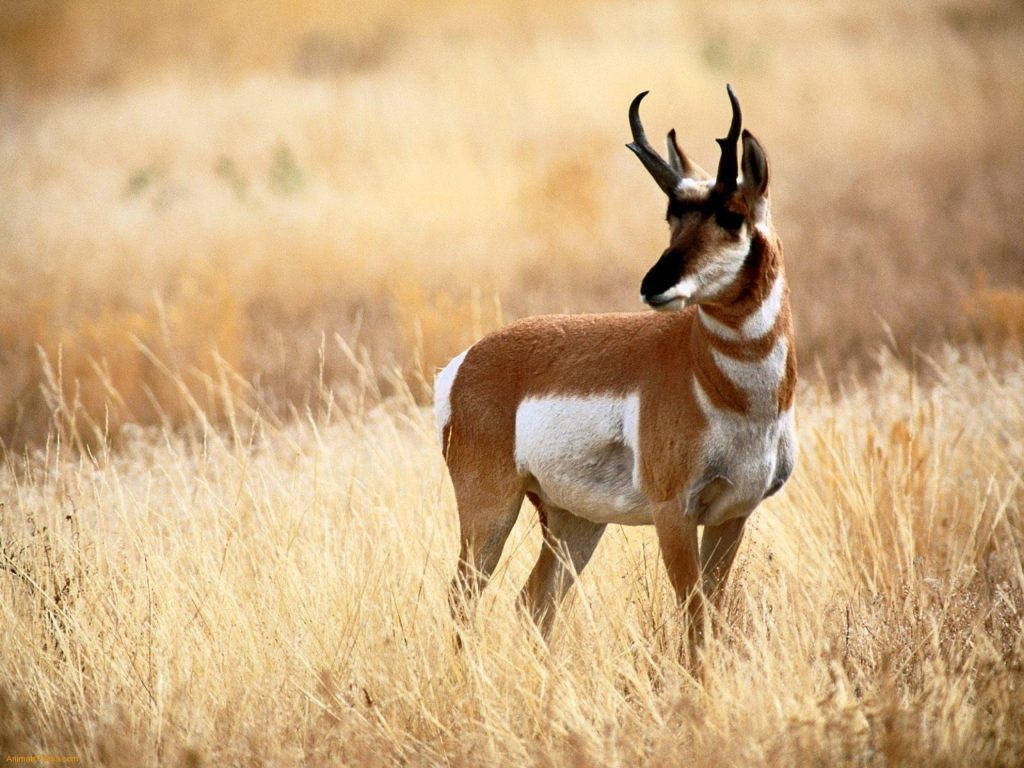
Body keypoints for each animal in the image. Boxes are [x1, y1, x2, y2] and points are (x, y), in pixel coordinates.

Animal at [436, 83, 794, 638]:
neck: (720, 384)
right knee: (462, 599)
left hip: (575, 520)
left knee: (533, 601)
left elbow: (711, 614)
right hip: (491, 510)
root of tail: (466, 362)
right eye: (671, 216)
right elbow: (692, 616)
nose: (654, 285)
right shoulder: (673, 513)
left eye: (732, 216)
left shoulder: (732, 515)